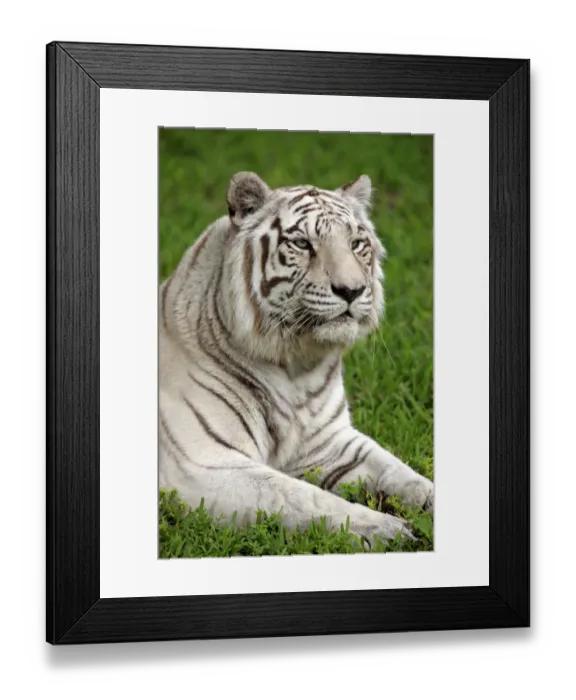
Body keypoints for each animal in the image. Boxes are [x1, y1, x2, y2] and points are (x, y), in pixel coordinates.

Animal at [159, 171, 434, 547]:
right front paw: (386, 529)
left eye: (356, 244)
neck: (298, 366)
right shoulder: (203, 463)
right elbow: (299, 496)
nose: (352, 290)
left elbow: (402, 474)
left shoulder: (332, 443)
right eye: (302, 244)